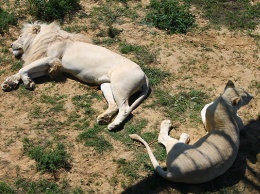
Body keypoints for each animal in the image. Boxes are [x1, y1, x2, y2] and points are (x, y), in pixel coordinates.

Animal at [1, 21, 148, 130]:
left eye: (20, 36)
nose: (11, 44)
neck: (44, 39)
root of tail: (144, 74)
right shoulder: (49, 66)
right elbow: (23, 71)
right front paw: (10, 83)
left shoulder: (51, 59)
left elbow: (23, 69)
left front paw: (28, 82)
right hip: (106, 85)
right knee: (114, 105)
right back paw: (103, 118)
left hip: (119, 87)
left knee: (125, 108)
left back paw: (113, 125)